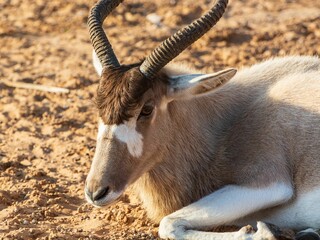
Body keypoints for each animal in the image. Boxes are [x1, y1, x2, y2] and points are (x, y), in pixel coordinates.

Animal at [84, 0, 320, 239]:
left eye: (147, 109)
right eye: (97, 104)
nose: (96, 191)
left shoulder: (268, 182)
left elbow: (169, 223)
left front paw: (263, 232)